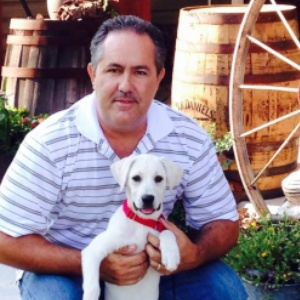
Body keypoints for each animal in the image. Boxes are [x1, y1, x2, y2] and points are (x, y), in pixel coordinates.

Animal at [82, 154, 184, 300]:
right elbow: (92, 286)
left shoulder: (159, 268)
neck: (141, 222)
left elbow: (167, 232)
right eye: (136, 178)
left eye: (159, 178)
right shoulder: (93, 250)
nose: (147, 198)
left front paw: (171, 254)